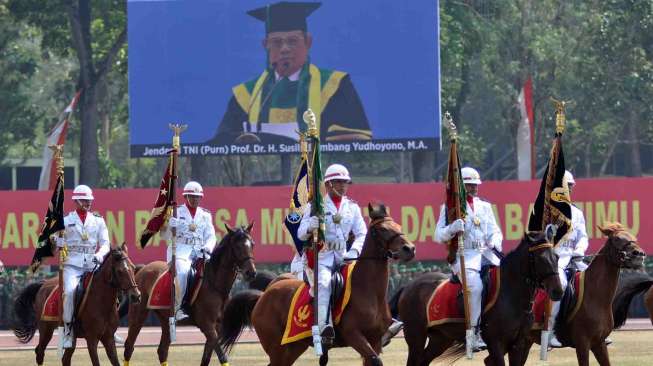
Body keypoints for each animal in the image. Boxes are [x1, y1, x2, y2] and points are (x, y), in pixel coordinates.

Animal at [11, 243, 139, 366]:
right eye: (120, 271)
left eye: (133, 268)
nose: (136, 295)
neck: (102, 303)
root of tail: (43, 284)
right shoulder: (91, 339)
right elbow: (96, 362)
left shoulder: (108, 338)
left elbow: (115, 361)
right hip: (46, 330)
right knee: (40, 352)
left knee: (65, 359)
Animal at [123, 223, 256, 366]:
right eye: (237, 246)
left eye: (252, 244)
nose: (251, 272)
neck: (215, 284)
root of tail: (143, 269)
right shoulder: (207, 326)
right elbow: (222, 356)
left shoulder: (217, 327)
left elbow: (206, 358)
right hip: (138, 315)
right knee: (129, 346)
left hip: (166, 320)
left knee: (162, 351)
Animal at [218, 204, 412, 364]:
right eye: (381, 230)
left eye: (398, 226)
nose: (409, 249)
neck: (368, 291)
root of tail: (262, 297)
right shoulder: (354, 336)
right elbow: (375, 360)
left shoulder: (375, 340)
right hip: (277, 349)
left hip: (293, 347)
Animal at [394, 232, 564, 366]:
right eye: (540, 258)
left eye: (556, 257)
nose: (558, 291)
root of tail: (408, 286)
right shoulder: (496, 343)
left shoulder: (518, 344)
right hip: (416, 337)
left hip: (440, 339)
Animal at [516, 222, 644, 366]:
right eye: (617, 238)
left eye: (633, 237)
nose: (639, 255)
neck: (596, 297)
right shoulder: (582, 344)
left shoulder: (599, 344)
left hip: (525, 341)